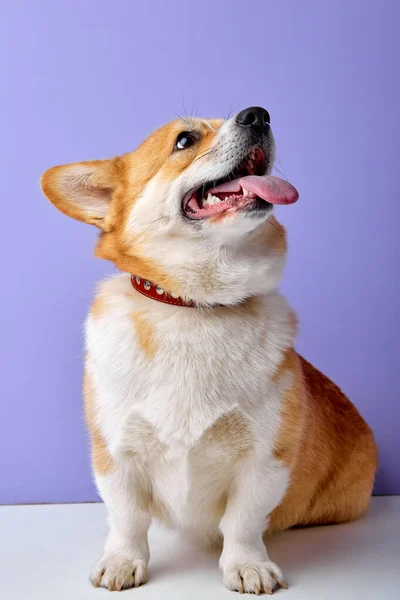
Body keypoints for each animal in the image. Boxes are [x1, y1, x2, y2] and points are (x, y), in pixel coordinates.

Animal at [41, 108, 378, 596]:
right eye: (185, 140)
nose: (258, 114)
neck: (195, 307)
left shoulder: (264, 460)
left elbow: (243, 522)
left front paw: (248, 566)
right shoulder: (116, 455)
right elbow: (126, 519)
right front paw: (122, 562)